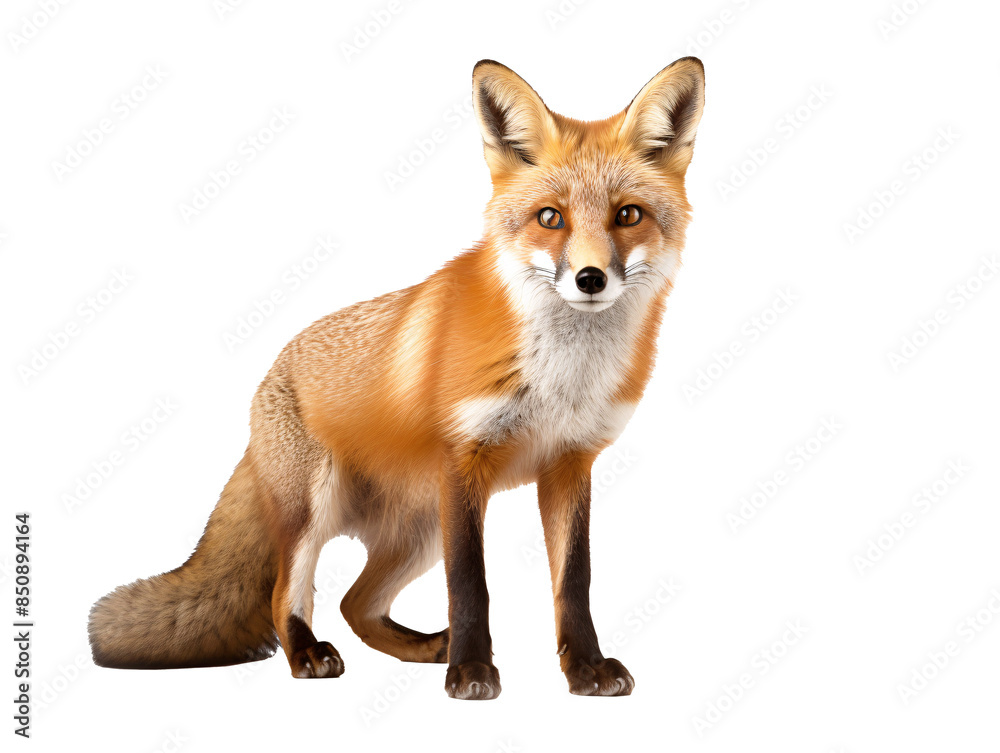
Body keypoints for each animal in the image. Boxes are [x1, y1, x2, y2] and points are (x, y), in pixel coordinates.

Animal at [88, 57, 705, 700]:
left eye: (628, 215)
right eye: (550, 218)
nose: (589, 278)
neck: (562, 378)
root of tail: (271, 372)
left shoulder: (569, 463)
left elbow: (573, 582)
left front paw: (584, 668)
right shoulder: (464, 461)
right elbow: (471, 585)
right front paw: (473, 671)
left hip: (420, 532)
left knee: (355, 604)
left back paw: (424, 646)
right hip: (321, 511)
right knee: (290, 594)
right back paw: (309, 654)